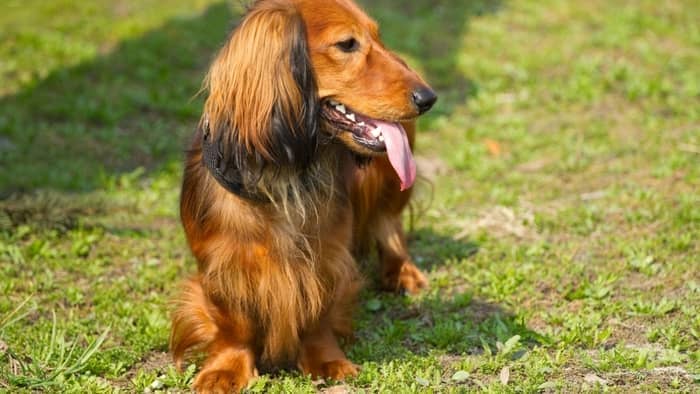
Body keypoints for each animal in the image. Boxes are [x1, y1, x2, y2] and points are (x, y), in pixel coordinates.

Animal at [170, 0, 434, 390]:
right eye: (346, 44)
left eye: (378, 36)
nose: (429, 97)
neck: (286, 175)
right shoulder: (222, 265)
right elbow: (234, 322)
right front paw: (226, 368)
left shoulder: (327, 258)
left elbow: (318, 313)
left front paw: (326, 360)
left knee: (388, 223)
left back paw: (403, 272)